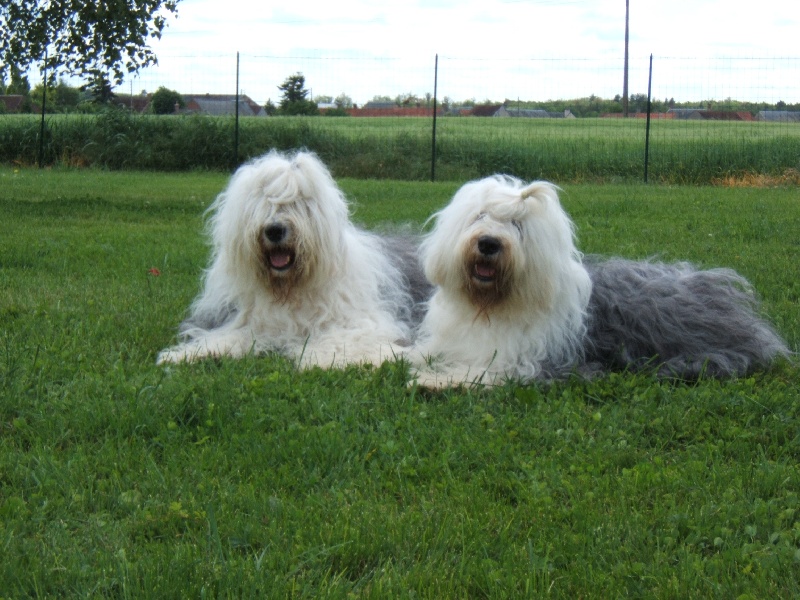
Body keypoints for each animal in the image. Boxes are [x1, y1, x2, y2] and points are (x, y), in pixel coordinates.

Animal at [159, 150, 428, 366]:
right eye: (261, 203)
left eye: (299, 203)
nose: (274, 230)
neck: (289, 287)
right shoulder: (245, 320)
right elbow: (230, 334)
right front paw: (188, 354)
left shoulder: (368, 323)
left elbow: (345, 339)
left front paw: (322, 358)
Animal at [410, 176, 592, 386]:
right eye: (480, 216)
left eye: (517, 225)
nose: (488, 243)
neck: (486, 307)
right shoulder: (447, 340)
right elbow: (423, 350)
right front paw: (393, 356)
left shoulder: (517, 364)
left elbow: (475, 374)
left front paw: (426, 379)